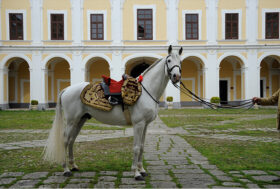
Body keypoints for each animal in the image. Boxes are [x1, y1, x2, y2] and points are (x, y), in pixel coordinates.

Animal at [43, 45, 183, 180]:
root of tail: (67, 89)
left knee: (72, 140)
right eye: (169, 60)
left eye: (180, 61)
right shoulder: (138, 124)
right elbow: (136, 147)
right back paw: (66, 169)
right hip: (71, 121)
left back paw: (73, 166)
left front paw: (142, 170)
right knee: (65, 140)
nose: (176, 77)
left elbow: (142, 146)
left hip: (80, 120)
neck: (146, 91)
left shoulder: (145, 125)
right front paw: (136, 173)